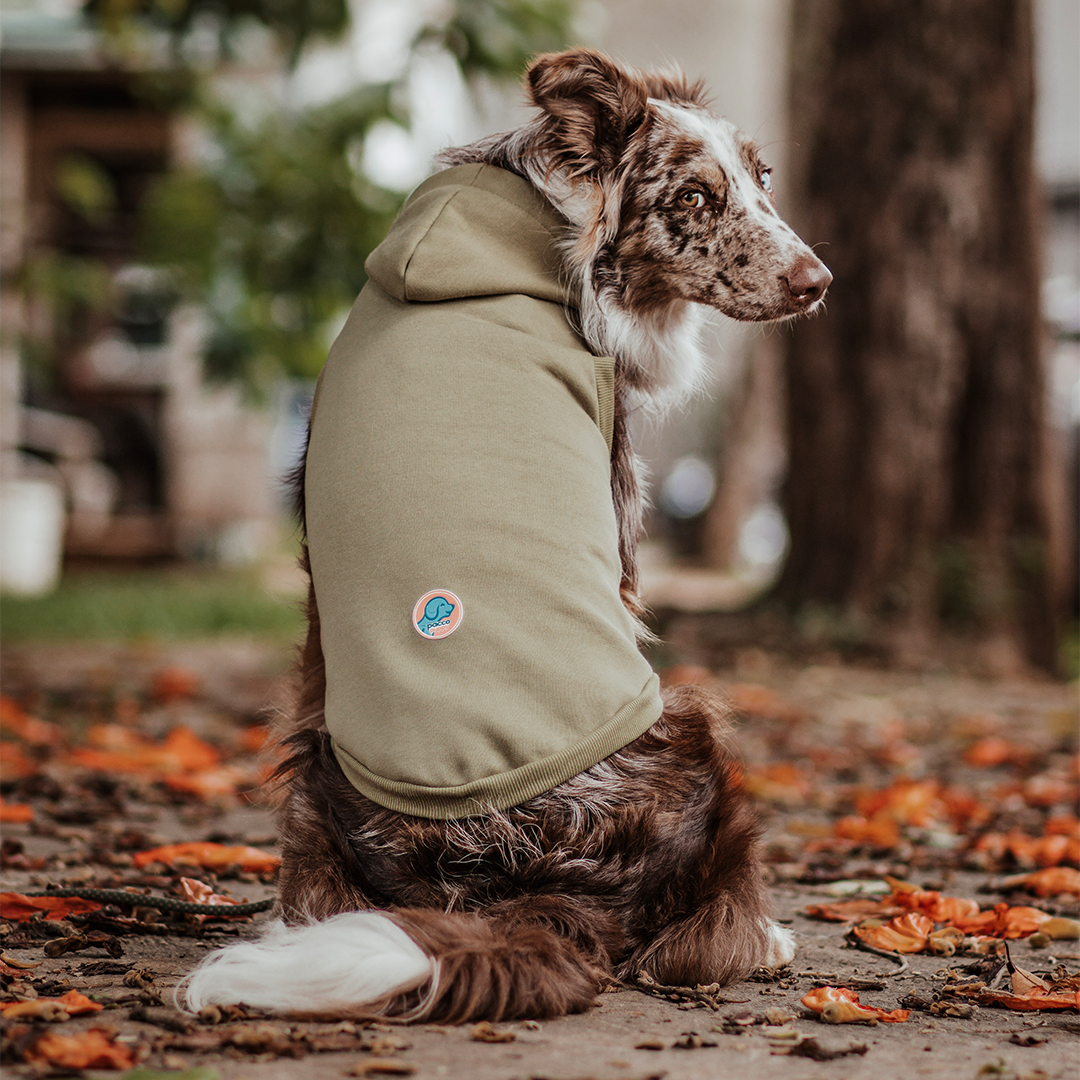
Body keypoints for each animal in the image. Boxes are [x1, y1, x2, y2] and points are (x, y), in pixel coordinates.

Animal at [181, 48, 829, 1019]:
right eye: (692, 199)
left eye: (764, 179)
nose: (817, 282)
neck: (538, 218)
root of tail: (516, 886)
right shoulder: (619, 512)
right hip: (695, 715)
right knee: (697, 946)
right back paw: (767, 938)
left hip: (310, 757)